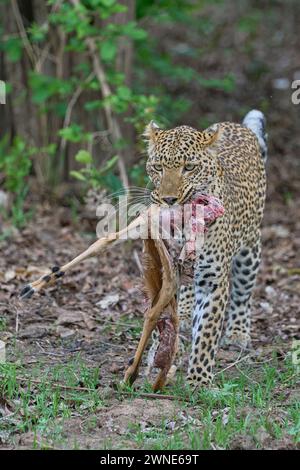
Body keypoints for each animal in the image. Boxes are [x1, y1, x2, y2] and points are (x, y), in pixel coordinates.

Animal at [145, 110, 268, 386]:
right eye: (158, 167)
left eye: (189, 167)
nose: (169, 199)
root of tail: (237, 126)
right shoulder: (164, 271)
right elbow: (161, 314)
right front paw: (160, 352)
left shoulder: (213, 279)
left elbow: (207, 331)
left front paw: (199, 381)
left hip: (250, 248)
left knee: (243, 291)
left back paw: (237, 333)